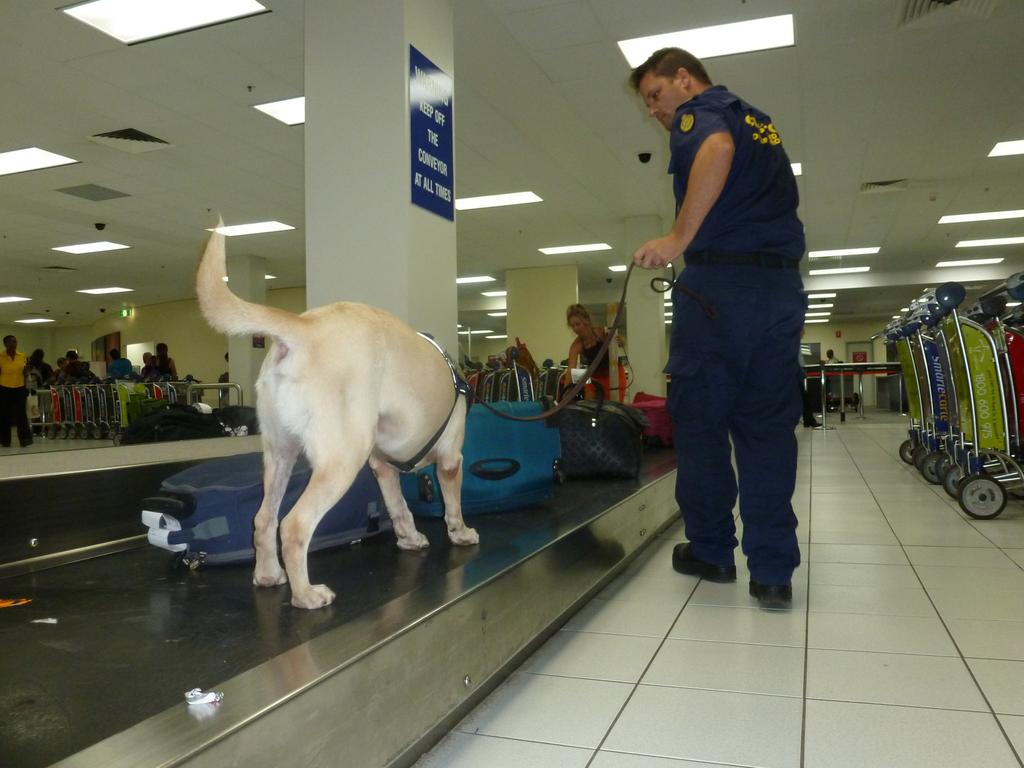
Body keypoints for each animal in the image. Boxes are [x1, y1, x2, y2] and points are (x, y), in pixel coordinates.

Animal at [194, 225, 475, 610]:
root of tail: (304, 326)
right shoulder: (450, 460)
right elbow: (453, 505)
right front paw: (461, 533)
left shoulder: (382, 467)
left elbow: (399, 507)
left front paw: (409, 537)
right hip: (341, 459)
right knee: (294, 525)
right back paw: (306, 595)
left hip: (280, 453)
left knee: (265, 518)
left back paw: (268, 575)